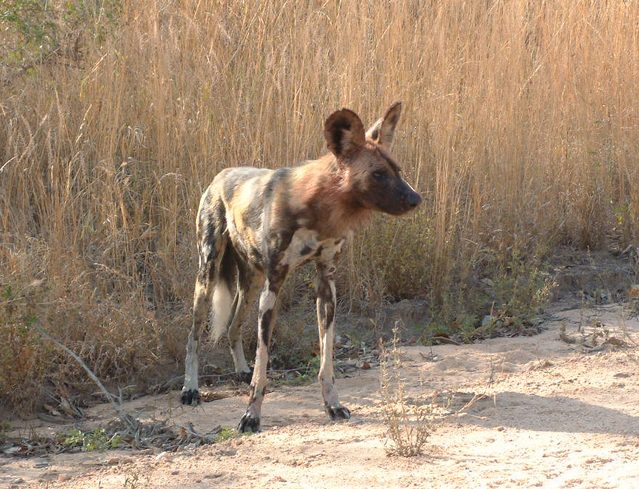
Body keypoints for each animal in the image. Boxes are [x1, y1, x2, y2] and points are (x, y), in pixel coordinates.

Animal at [180, 103, 422, 430]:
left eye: (398, 171)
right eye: (378, 174)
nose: (416, 199)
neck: (321, 209)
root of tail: (221, 175)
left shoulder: (326, 283)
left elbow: (326, 362)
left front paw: (333, 405)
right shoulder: (274, 286)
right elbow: (263, 367)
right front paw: (251, 416)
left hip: (251, 282)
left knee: (232, 327)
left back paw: (241, 371)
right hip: (208, 275)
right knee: (193, 337)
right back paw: (190, 389)